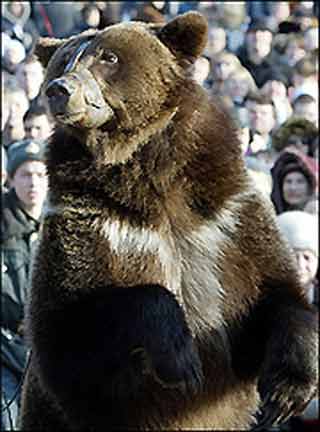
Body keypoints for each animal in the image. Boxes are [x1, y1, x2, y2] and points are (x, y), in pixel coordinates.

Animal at [20, 11, 318, 430]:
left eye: (108, 57)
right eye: (64, 61)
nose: (59, 89)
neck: (148, 170)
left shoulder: (225, 218)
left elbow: (276, 290)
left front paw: (285, 393)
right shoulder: (97, 223)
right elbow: (68, 329)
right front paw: (182, 359)